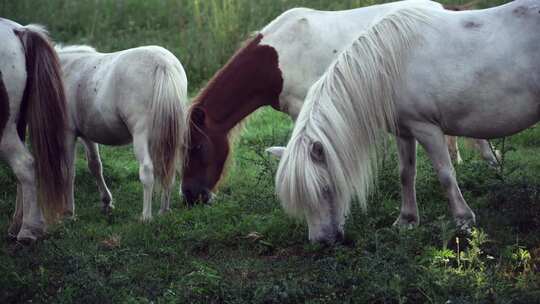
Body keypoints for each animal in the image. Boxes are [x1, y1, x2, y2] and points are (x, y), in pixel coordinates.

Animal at [0, 19, 69, 242]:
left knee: (25, 164)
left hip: (3, 129)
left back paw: (28, 230)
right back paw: (17, 224)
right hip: (17, 124)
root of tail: (18, 30)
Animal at [53, 44, 188, 221]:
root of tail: (162, 63)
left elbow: (68, 172)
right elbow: (95, 165)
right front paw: (106, 202)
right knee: (168, 169)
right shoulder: (87, 135)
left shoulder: (67, 133)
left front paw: (69, 212)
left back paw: (146, 216)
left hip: (142, 136)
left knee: (147, 171)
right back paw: (164, 210)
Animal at [182, 0, 498, 205]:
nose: (190, 196)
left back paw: (490, 163)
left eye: (196, 148)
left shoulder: (305, 108)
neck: (275, 59)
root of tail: (443, 10)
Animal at [268, 0, 540, 243]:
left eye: (325, 189)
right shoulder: (404, 131)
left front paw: (463, 220)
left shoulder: (427, 129)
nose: (321, 242)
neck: (389, 66)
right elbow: (406, 173)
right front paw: (407, 221)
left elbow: (446, 174)